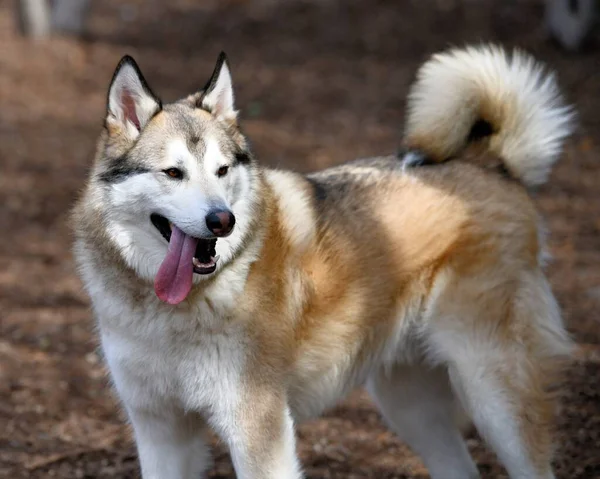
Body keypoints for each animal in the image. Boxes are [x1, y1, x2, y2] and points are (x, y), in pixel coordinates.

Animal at [71, 46, 576, 479]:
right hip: (409, 405)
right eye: (173, 173)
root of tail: (491, 164)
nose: (222, 220)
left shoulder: (259, 432)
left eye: (222, 171)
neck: (169, 311)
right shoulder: (160, 430)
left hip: (492, 395)